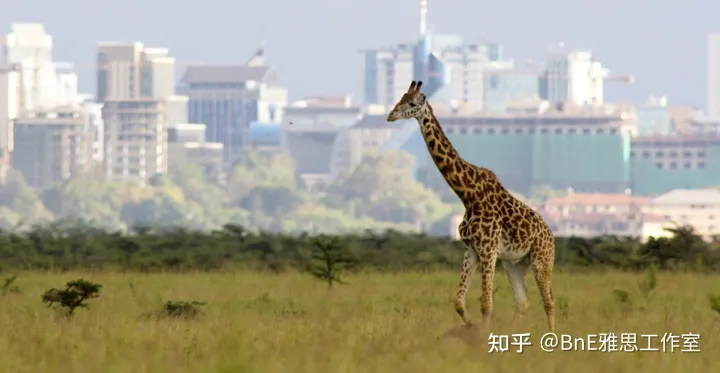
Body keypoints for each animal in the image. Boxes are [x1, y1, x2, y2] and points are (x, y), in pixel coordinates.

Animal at [388, 80, 556, 330]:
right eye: (401, 98)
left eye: (412, 103)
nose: (390, 115)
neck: (468, 195)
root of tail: (551, 235)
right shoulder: (471, 251)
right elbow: (459, 301)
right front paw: (472, 328)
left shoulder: (488, 250)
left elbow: (486, 304)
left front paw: (482, 336)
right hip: (514, 264)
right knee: (523, 302)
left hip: (541, 259)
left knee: (549, 301)